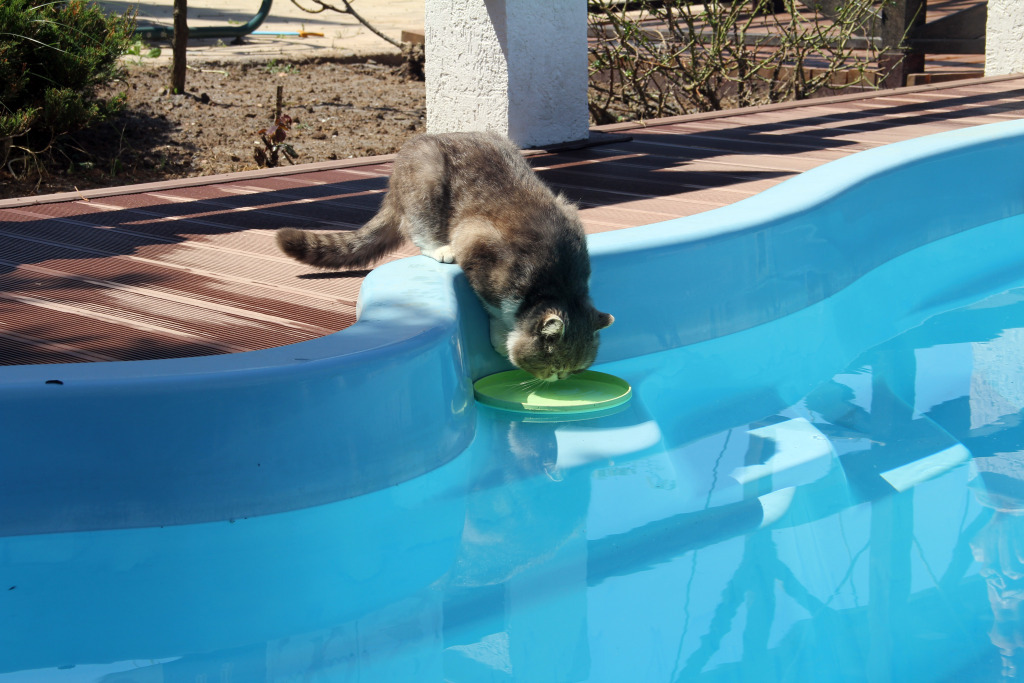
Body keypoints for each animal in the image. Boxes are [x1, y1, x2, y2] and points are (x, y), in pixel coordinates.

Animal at [274, 131, 614, 382]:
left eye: (575, 370)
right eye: (554, 367)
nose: (560, 379)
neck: (556, 284)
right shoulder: (479, 247)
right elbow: (494, 309)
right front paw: (501, 338)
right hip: (427, 179)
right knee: (417, 227)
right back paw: (440, 248)